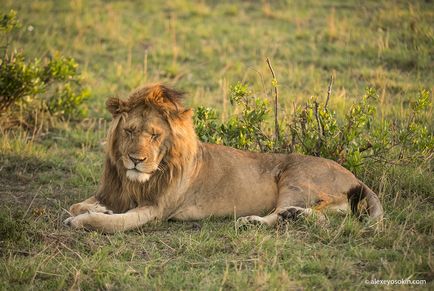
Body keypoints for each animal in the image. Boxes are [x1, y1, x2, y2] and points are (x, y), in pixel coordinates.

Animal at [62, 84, 382, 233]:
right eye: (129, 131)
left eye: (154, 135)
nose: (135, 159)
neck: (138, 180)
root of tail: (355, 176)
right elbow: (79, 204)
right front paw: (96, 210)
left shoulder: (156, 209)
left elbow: (109, 223)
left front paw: (82, 221)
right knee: (323, 218)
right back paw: (290, 216)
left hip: (295, 178)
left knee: (296, 215)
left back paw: (254, 221)